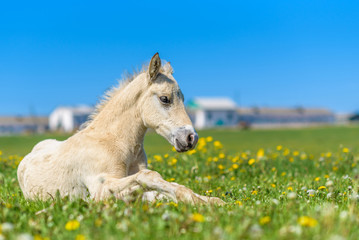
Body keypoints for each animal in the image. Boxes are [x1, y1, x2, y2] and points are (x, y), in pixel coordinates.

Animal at [18, 54, 225, 204]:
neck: (115, 142)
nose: (191, 138)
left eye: (183, 98)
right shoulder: (99, 190)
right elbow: (148, 178)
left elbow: (160, 185)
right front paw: (193, 199)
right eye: (165, 98)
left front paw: (211, 200)